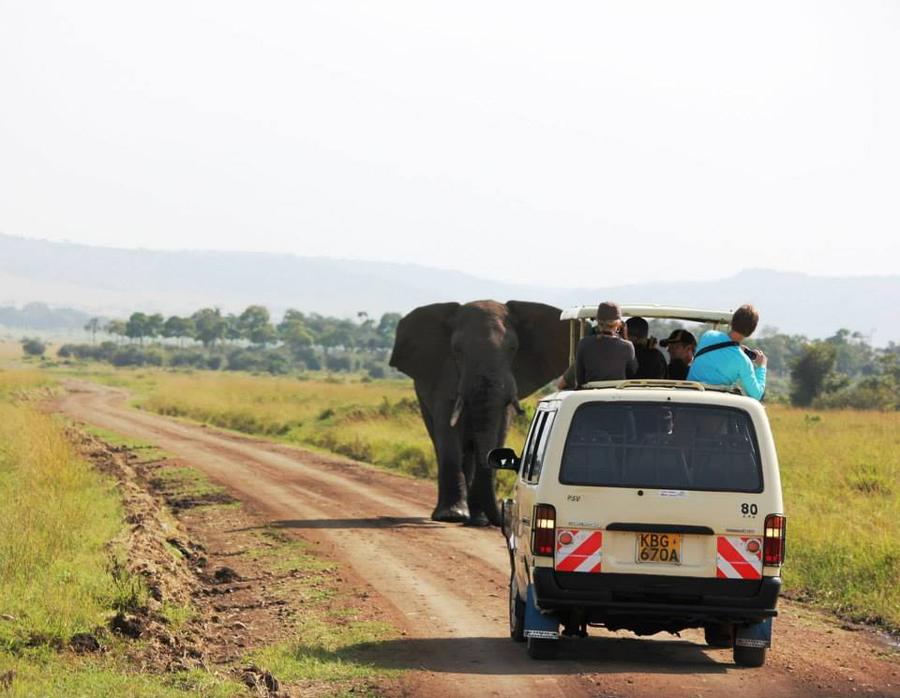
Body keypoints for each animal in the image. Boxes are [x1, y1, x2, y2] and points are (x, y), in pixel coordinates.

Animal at [389, 300, 570, 526]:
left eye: (513, 348)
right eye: (457, 350)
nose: (500, 518)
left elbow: (499, 430)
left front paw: (478, 518)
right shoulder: (444, 375)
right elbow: (447, 430)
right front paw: (452, 516)